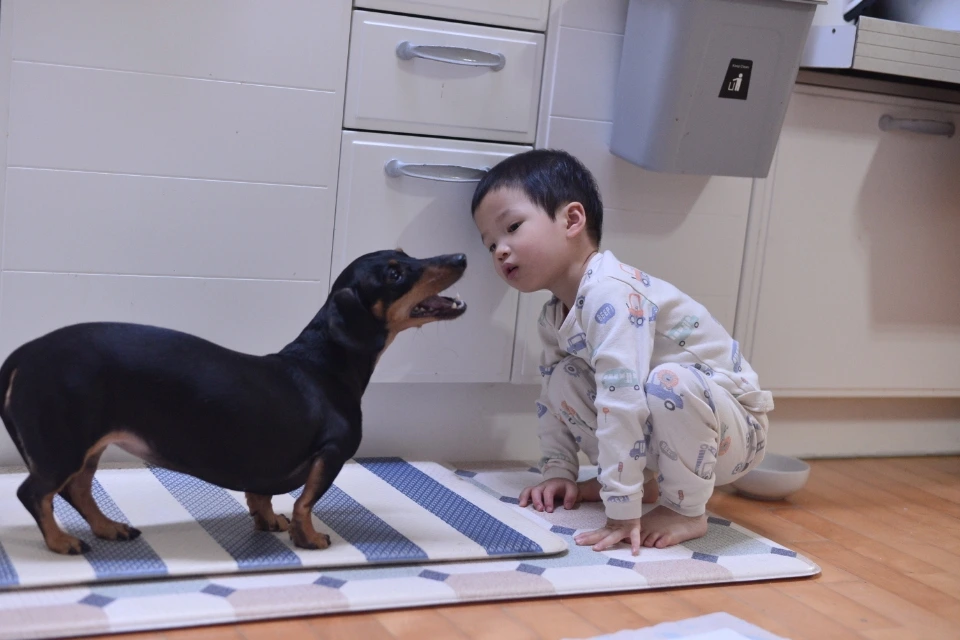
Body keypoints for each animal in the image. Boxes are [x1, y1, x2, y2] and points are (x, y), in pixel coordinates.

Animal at [0, 249, 467, 555]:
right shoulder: (332, 452)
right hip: (63, 445)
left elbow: (262, 496)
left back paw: (108, 528)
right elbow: (306, 502)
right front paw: (310, 538)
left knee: (77, 489)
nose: (461, 256)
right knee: (35, 493)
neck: (324, 364)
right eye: (394, 273)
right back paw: (61, 541)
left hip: (86, 446)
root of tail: (24, 355)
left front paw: (270, 522)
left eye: (405, 253)